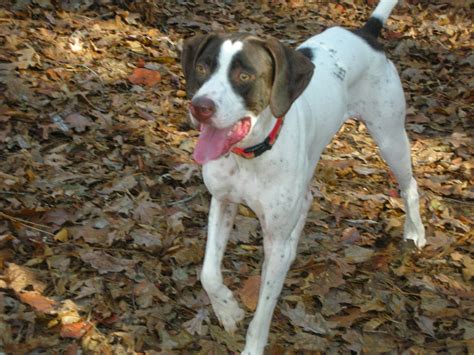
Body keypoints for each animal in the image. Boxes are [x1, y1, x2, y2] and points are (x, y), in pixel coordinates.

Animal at [181, 0, 426, 354]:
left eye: (244, 75)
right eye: (202, 68)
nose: (200, 106)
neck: (251, 156)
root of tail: (365, 31)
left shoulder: (272, 237)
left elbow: (263, 313)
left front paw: (251, 344)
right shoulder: (223, 201)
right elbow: (209, 274)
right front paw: (227, 310)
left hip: (390, 135)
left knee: (410, 185)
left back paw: (415, 231)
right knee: (306, 201)